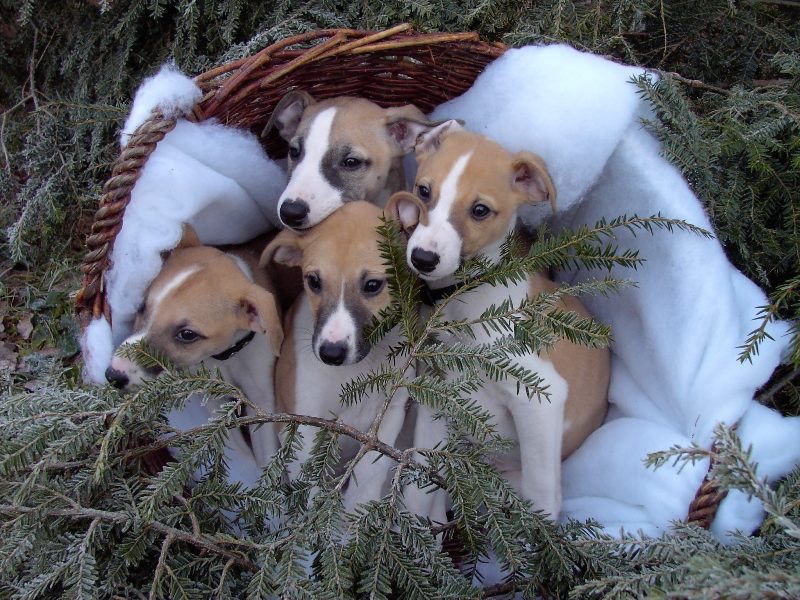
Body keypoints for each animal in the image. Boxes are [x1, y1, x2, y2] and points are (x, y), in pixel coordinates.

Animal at [104, 227, 282, 472]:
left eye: (188, 334)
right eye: (141, 306)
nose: (113, 375)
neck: (226, 358)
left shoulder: (262, 400)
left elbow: (264, 454)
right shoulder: (213, 397)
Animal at [386, 124, 608, 516]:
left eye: (480, 210)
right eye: (423, 191)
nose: (423, 258)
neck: (466, 302)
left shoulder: (541, 396)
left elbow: (541, 496)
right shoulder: (440, 395)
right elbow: (417, 486)